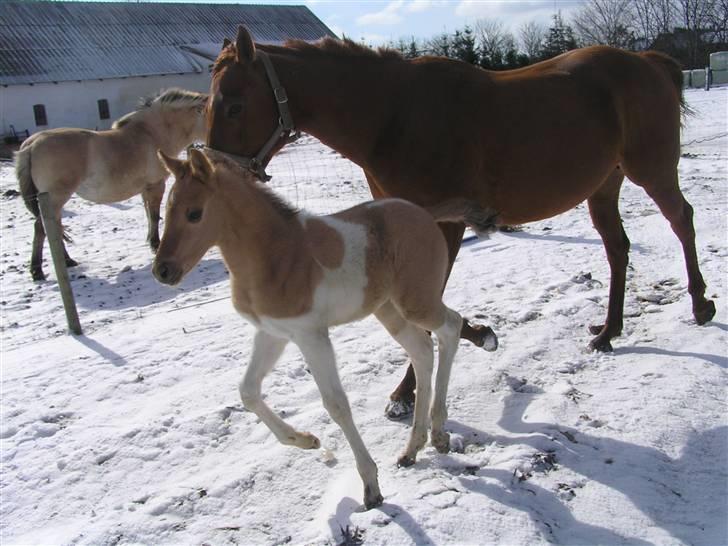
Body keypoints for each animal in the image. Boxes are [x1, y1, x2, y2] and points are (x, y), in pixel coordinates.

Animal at [151, 147, 498, 508]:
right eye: (167, 211)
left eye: (194, 213)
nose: (162, 270)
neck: (276, 255)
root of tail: (425, 214)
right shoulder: (273, 333)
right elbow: (248, 391)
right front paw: (307, 440)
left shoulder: (311, 335)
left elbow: (336, 404)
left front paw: (370, 487)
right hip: (389, 310)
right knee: (422, 351)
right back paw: (413, 448)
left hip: (416, 301)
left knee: (451, 327)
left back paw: (439, 432)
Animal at [205, 26, 716, 412]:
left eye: (234, 104)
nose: (216, 177)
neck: (394, 116)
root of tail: (649, 62)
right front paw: (477, 335)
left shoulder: (442, 225)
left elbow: (429, 300)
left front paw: (408, 390)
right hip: (604, 186)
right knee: (617, 248)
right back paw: (608, 331)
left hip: (652, 170)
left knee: (682, 221)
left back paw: (700, 305)